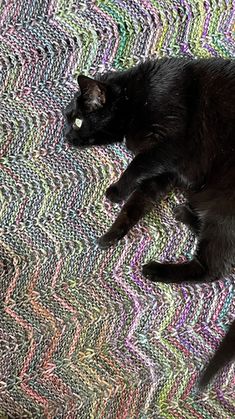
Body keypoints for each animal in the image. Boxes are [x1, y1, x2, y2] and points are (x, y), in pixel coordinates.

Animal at [63, 58, 234, 388]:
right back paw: (184, 214)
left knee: (211, 269)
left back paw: (155, 269)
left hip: (222, 208)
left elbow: (136, 166)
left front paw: (116, 191)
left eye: (76, 121)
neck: (136, 98)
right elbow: (139, 200)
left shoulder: (171, 146)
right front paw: (114, 232)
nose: (66, 137)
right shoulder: (165, 171)